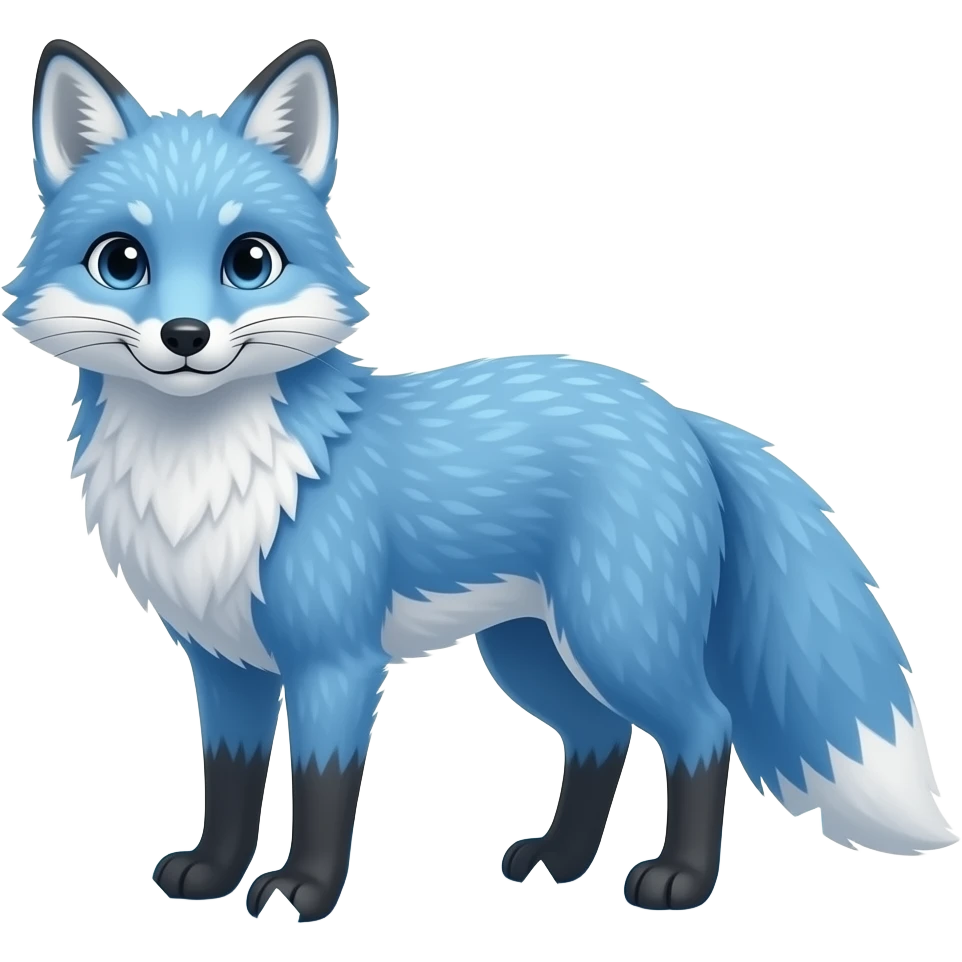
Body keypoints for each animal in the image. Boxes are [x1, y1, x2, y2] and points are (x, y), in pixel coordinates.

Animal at [3, 36, 957, 923]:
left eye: (250, 261)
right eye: (122, 261)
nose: (186, 336)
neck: (204, 482)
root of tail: (675, 413)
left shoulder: (335, 661)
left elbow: (321, 789)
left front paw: (305, 890)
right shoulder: (224, 661)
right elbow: (229, 781)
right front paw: (210, 874)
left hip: (614, 635)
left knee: (702, 726)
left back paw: (679, 880)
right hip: (532, 649)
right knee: (601, 736)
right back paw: (562, 860)